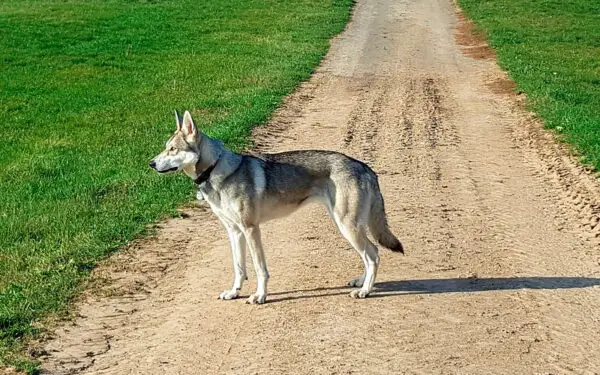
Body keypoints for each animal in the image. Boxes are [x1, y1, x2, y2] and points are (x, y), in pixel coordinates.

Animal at [149, 110, 404, 304]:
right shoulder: (234, 232)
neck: (217, 170)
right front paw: (234, 292)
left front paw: (260, 296)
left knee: (373, 254)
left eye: (172, 149)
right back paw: (361, 282)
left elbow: (259, 269)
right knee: (370, 254)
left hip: (347, 227)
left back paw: (365, 291)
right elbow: (239, 267)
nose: (150, 163)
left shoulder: (251, 229)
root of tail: (365, 167)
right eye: (166, 147)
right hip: (346, 225)